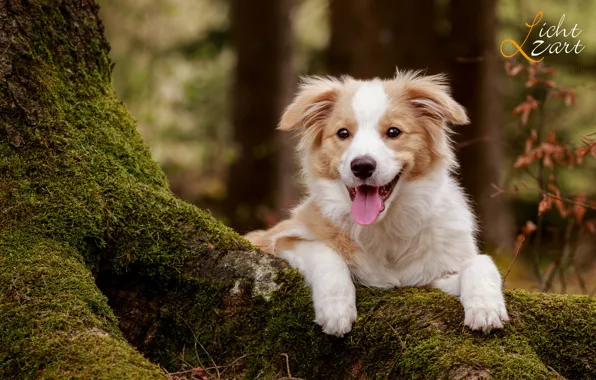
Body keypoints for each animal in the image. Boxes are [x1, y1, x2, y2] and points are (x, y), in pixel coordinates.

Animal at [244, 70, 510, 336]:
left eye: (393, 132)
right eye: (343, 133)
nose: (362, 166)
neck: (385, 226)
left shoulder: (432, 275)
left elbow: (481, 262)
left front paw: (486, 306)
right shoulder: (281, 238)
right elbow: (325, 252)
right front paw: (336, 308)